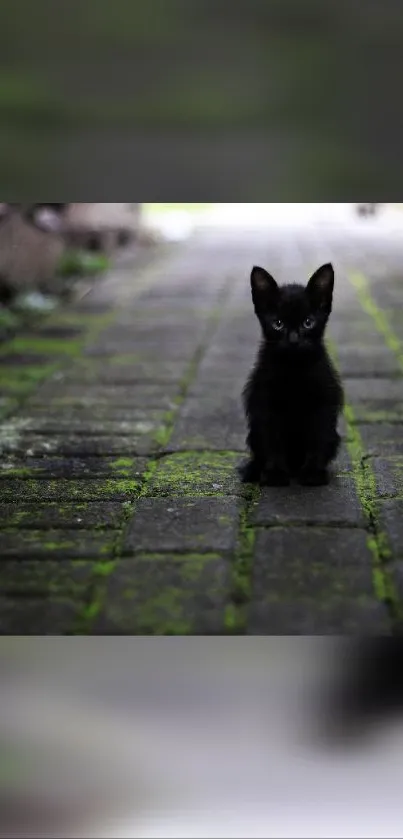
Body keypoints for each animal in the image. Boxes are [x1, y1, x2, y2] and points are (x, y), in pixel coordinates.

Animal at [240, 260, 344, 486]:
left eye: (308, 322)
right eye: (278, 324)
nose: (294, 339)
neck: (294, 369)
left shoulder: (323, 404)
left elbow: (317, 438)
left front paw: (313, 473)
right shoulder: (266, 405)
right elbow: (273, 441)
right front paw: (276, 473)